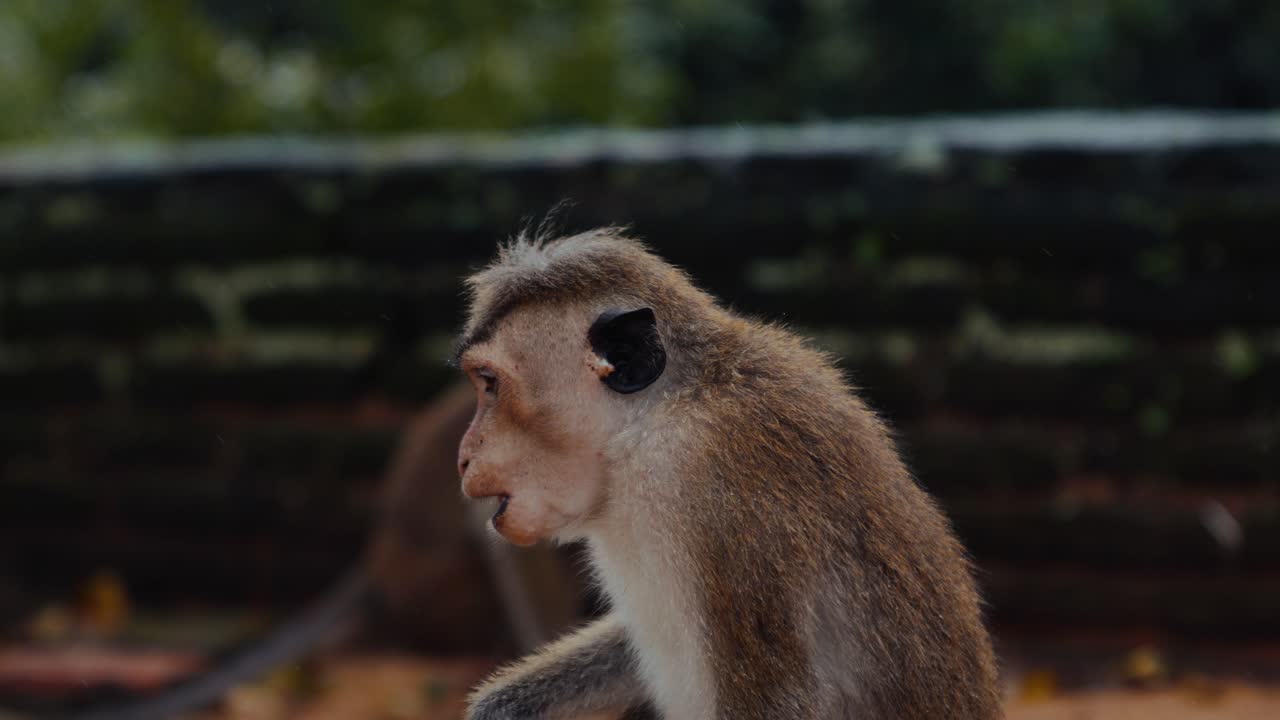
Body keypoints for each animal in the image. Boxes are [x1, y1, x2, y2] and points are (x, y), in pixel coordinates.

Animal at [452, 228, 1002, 719]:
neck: (644, 429)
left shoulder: (708, 484)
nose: (462, 456)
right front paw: (503, 707)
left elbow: (778, 701)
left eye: (490, 384)